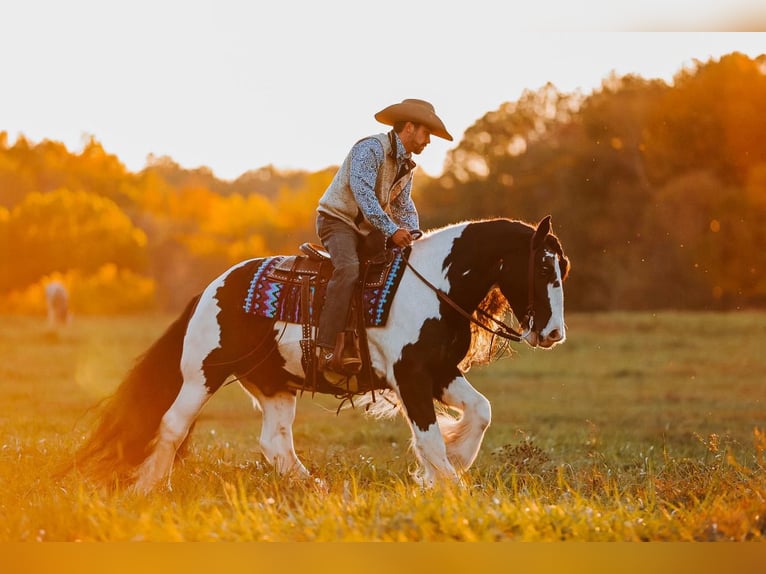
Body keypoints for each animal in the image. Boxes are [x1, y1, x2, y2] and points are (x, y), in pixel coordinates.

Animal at [70, 216, 568, 496]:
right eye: (544, 266)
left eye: (563, 265)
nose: (553, 333)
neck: (433, 286)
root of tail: (211, 289)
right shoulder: (411, 376)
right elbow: (428, 439)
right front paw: (449, 485)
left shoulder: (440, 372)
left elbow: (480, 411)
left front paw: (455, 463)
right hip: (202, 375)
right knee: (172, 425)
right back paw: (148, 489)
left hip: (274, 386)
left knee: (274, 443)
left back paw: (313, 487)